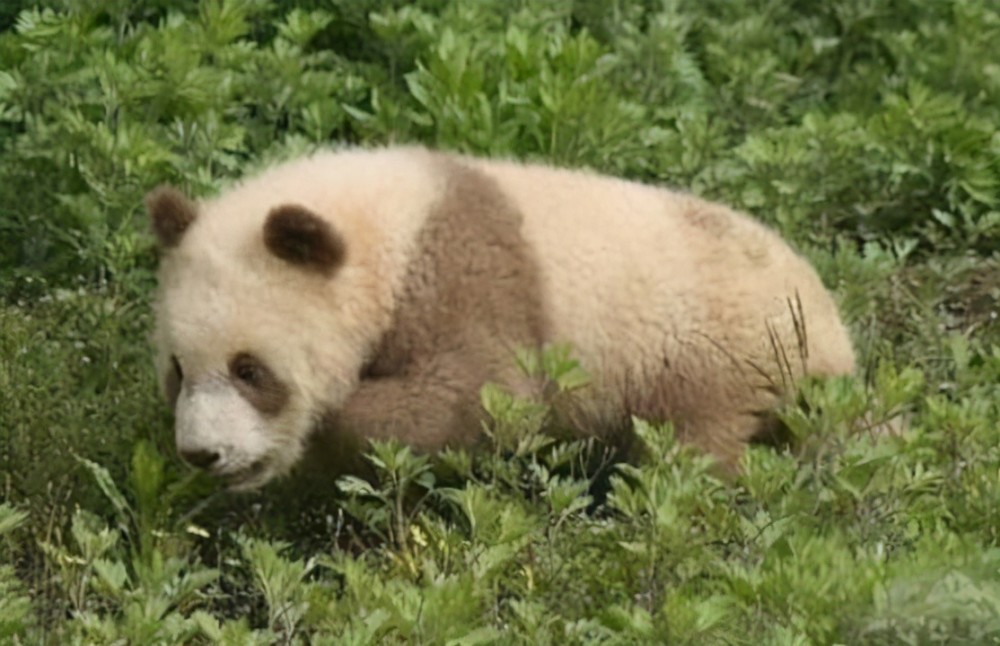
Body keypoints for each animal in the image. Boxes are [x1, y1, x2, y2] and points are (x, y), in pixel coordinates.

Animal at [146, 146, 852, 492]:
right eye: (178, 371)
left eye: (250, 371)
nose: (203, 454)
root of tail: (830, 329)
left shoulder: (465, 276)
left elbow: (486, 397)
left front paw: (332, 430)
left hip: (717, 351)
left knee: (693, 448)